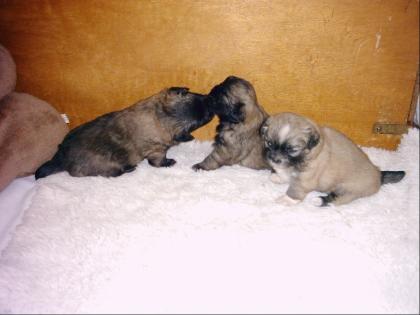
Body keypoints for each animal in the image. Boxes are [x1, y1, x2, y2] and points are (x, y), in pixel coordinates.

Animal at [34, 87, 213, 179]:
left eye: (199, 97)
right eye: (203, 119)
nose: (210, 101)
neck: (160, 116)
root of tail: (62, 159)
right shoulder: (157, 150)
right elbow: (157, 162)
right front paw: (168, 162)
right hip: (105, 166)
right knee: (112, 173)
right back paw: (128, 169)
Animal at [260, 113, 406, 207]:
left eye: (292, 150)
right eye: (269, 143)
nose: (274, 159)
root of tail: (379, 175)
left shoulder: (305, 179)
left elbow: (295, 189)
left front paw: (287, 200)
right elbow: (286, 174)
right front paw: (278, 177)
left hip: (349, 190)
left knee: (336, 199)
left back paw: (318, 200)